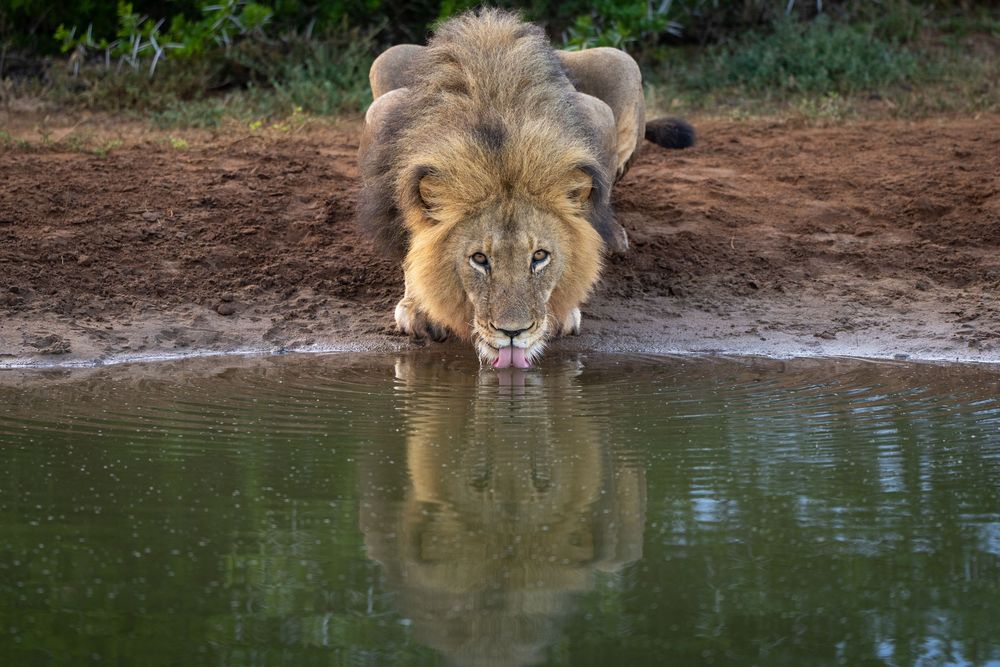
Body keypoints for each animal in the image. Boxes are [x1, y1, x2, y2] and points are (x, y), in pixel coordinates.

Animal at [358, 9, 693, 368]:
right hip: (386, 60)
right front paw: (421, 307)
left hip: (621, 62)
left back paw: (614, 236)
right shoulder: (384, 118)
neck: (498, 136)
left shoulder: (595, 115)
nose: (512, 332)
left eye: (539, 257)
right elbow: (413, 242)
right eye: (479, 259)